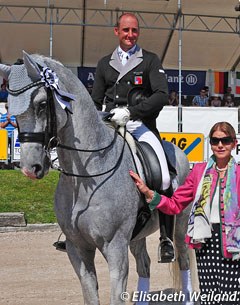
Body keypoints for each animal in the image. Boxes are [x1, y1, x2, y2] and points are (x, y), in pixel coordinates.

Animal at [0, 52, 193, 304]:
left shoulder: (115, 249)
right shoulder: (77, 250)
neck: (85, 177)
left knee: (183, 259)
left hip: (180, 225)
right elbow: (91, 294)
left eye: (42, 104)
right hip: (137, 236)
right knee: (145, 264)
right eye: (9, 107)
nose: (30, 167)